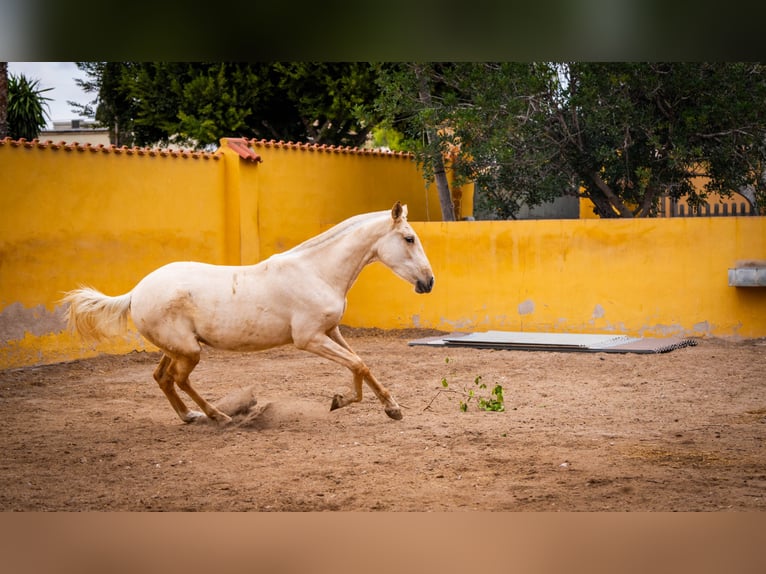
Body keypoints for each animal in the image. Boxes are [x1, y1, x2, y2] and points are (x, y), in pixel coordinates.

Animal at [63, 205, 436, 426]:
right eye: (409, 238)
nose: (429, 282)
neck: (316, 271)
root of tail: (136, 292)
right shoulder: (309, 339)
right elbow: (357, 365)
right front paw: (340, 401)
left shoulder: (332, 331)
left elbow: (362, 364)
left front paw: (392, 408)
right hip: (190, 351)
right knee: (179, 379)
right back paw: (218, 416)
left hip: (177, 348)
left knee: (162, 378)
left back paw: (190, 416)